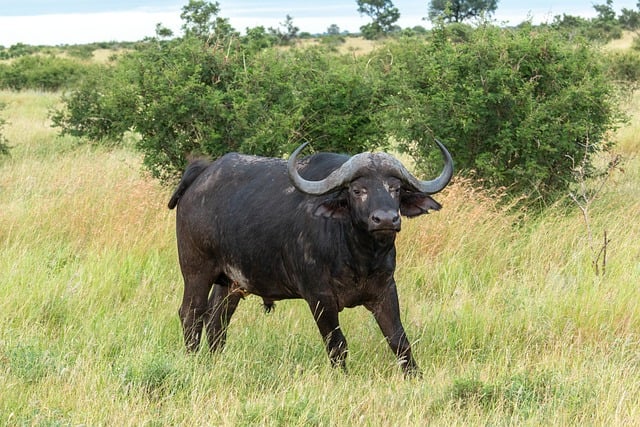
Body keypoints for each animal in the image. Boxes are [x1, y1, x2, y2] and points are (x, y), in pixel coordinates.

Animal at [168, 140, 453, 376]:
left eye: (395, 188)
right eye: (357, 190)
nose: (385, 219)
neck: (359, 256)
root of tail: (201, 175)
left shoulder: (385, 290)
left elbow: (399, 340)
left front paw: (414, 376)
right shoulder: (319, 297)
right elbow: (337, 344)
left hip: (231, 283)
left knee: (217, 320)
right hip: (196, 271)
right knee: (191, 314)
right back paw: (193, 360)